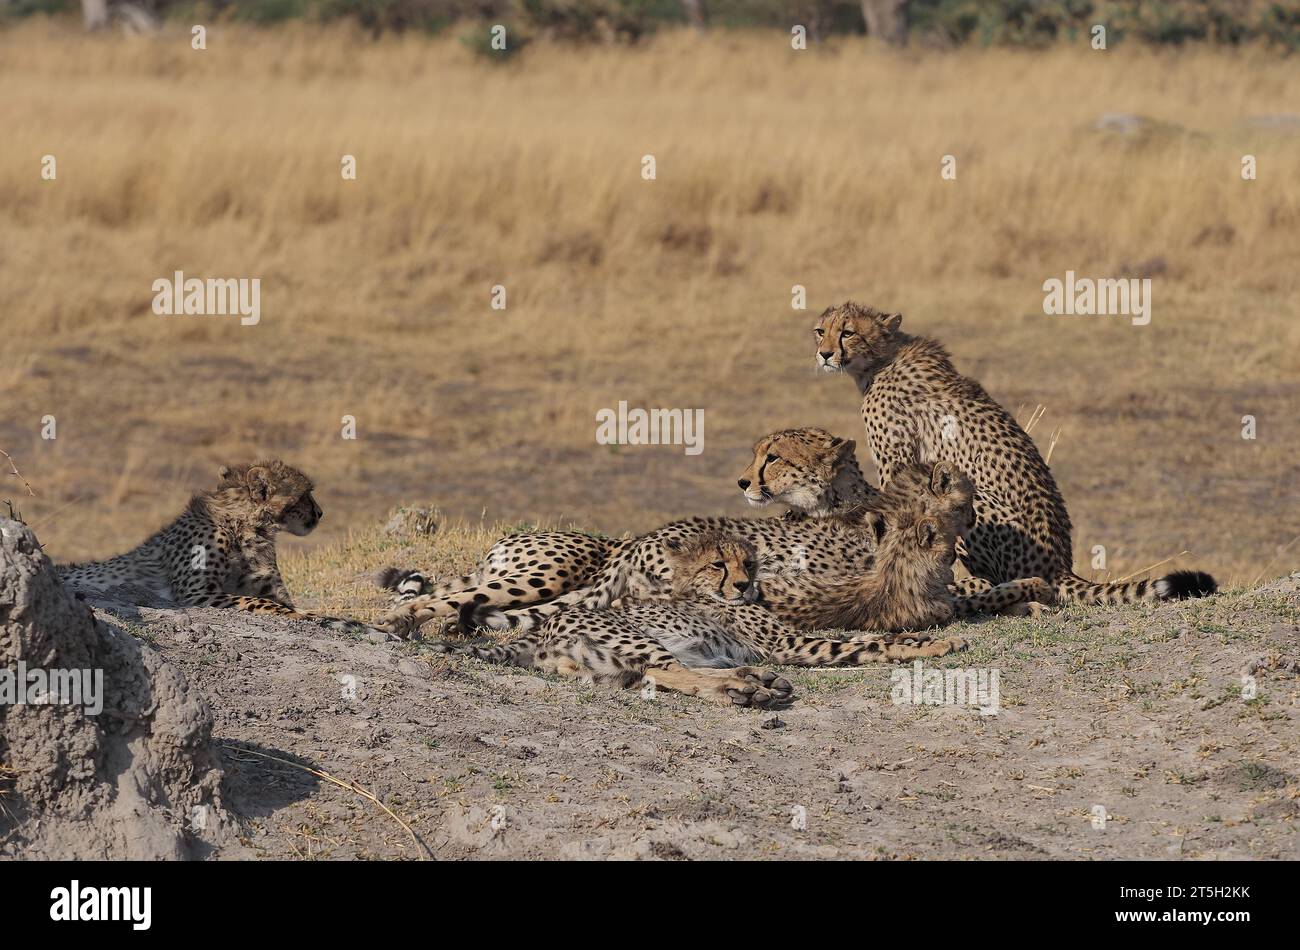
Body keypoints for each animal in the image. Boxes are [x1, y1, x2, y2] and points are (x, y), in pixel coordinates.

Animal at [59, 462, 382, 639]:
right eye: (305, 495)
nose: (320, 513)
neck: (248, 527)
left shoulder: (275, 591)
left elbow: (313, 611)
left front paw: (366, 627)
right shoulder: (196, 594)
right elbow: (263, 603)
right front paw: (304, 619)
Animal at [447, 530, 967, 712]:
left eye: (749, 563)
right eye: (719, 564)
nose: (742, 584)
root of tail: (543, 633)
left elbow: (861, 634)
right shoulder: (794, 645)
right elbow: (867, 642)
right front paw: (936, 644)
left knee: (660, 674)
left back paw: (756, 680)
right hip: (640, 639)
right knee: (668, 671)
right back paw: (747, 689)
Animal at [811, 301, 1216, 605]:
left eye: (847, 332)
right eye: (820, 330)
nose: (824, 354)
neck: (881, 358)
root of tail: (1060, 564)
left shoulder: (896, 462)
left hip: (974, 503)